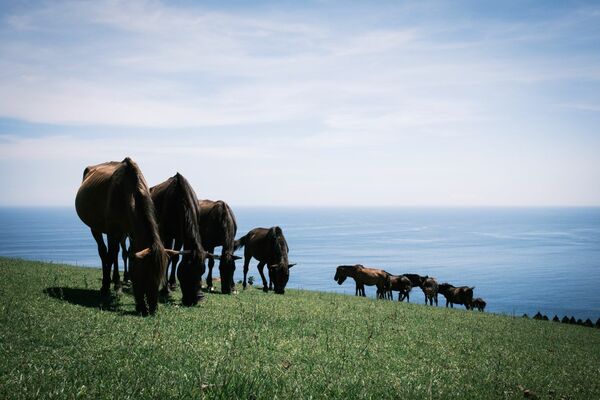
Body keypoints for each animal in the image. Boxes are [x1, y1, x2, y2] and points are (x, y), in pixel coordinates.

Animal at [75, 157, 179, 316]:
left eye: (160, 275)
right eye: (145, 273)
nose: (152, 309)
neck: (128, 194)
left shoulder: (131, 233)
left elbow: (128, 254)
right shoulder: (113, 231)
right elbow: (111, 255)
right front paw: (108, 287)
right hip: (95, 227)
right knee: (105, 253)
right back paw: (109, 284)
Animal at [149, 172, 212, 306]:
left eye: (202, 271)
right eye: (189, 272)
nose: (198, 297)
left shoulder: (179, 236)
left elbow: (175, 257)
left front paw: (172, 283)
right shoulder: (167, 233)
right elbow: (168, 256)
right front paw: (165, 289)